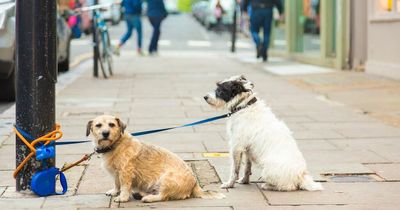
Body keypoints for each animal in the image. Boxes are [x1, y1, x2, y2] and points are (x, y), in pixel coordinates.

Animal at [86, 115, 225, 203]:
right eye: (98, 125)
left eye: (112, 125)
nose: (105, 133)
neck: (115, 145)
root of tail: (195, 184)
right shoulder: (116, 173)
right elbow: (116, 183)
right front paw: (115, 191)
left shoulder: (125, 172)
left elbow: (124, 186)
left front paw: (122, 197)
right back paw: (141, 194)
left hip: (166, 179)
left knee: (163, 196)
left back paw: (149, 198)